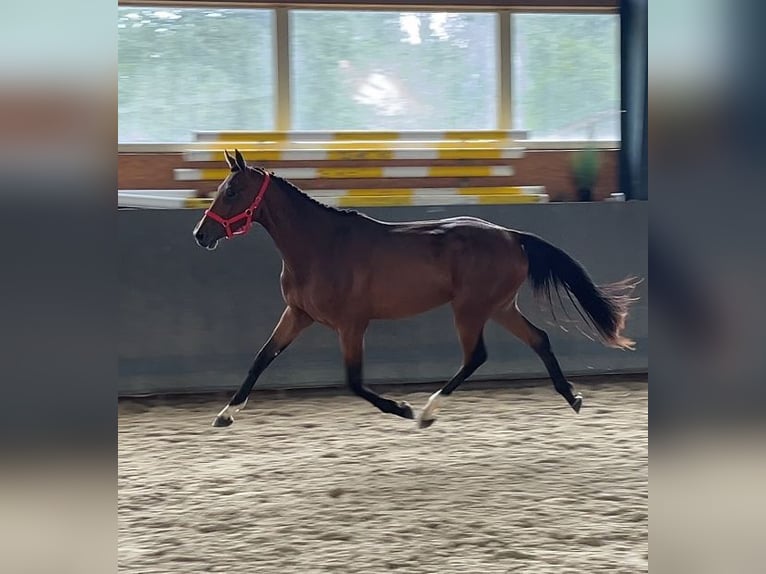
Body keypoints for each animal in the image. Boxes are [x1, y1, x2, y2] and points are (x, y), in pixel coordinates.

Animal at [193, 149, 638, 429]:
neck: (320, 245)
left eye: (232, 191)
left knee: (476, 356)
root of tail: (512, 235)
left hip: (470, 309)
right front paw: (226, 414)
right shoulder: (298, 315)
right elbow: (260, 359)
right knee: (539, 339)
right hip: (499, 307)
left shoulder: (351, 325)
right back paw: (572, 397)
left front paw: (402, 409)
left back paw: (427, 411)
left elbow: (353, 381)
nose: (200, 234)